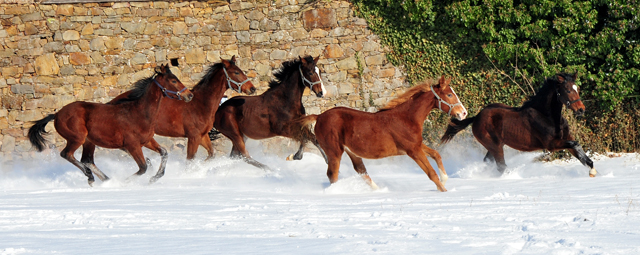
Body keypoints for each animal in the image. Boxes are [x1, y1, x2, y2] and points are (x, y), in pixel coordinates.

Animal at [28, 64, 192, 186]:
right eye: (173, 81)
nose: (189, 95)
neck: (139, 113)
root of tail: (56, 114)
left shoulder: (147, 141)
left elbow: (164, 152)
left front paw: (154, 178)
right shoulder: (132, 145)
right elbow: (143, 167)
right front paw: (126, 181)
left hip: (89, 142)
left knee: (87, 160)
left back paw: (105, 180)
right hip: (77, 138)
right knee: (67, 154)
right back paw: (91, 176)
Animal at [100, 56, 255, 160]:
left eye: (241, 70)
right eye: (236, 72)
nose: (252, 89)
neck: (201, 103)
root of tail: (112, 102)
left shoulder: (202, 135)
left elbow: (211, 154)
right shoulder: (193, 137)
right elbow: (190, 159)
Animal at [294, 75, 464, 191]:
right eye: (449, 95)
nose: (463, 113)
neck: (406, 117)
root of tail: (319, 116)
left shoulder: (417, 145)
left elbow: (436, 154)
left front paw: (445, 179)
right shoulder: (413, 150)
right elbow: (431, 173)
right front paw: (444, 190)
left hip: (352, 152)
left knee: (361, 171)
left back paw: (378, 191)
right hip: (334, 152)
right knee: (333, 174)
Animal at [440, 72, 596, 176]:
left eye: (577, 89)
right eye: (568, 90)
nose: (581, 110)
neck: (548, 116)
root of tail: (477, 117)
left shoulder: (565, 139)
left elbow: (580, 153)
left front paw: (593, 171)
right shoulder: (551, 144)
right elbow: (576, 144)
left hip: (494, 146)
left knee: (488, 162)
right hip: (495, 146)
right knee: (501, 166)